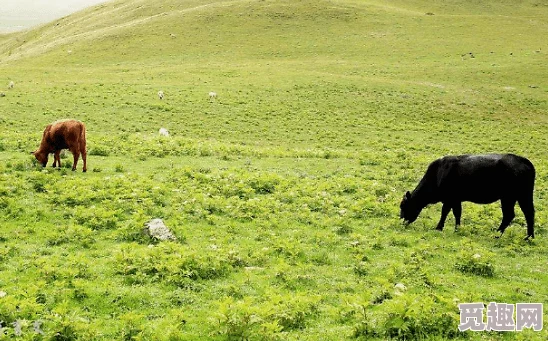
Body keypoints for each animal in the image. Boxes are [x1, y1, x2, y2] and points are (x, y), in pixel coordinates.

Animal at [400, 154, 532, 239]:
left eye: (404, 206)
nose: (402, 221)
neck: (438, 174)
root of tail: (525, 161)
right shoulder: (456, 200)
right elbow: (457, 213)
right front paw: (457, 229)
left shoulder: (449, 199)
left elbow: (445, 212)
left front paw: (439, 228)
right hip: (521, 196)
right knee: (528, 213)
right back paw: (529, 237)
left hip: (509, 197)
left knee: (510, 215)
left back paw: (497, 234)